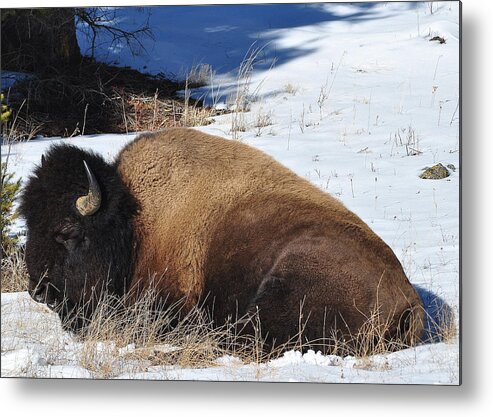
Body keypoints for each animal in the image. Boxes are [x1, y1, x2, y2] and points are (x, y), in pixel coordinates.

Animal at [21, 127, 422, 352]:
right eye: (29, 224)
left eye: (68, 232)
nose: (38, 292)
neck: (134, 223)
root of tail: (409, 301)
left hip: (281, 283)